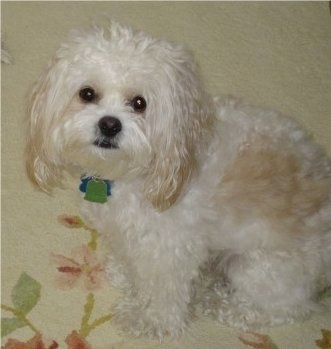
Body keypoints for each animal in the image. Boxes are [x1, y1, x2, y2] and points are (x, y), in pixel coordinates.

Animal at [26, 22, 331, 338]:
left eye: (139, 103)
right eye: (87, 93)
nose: (109, 124)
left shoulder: (170, 249)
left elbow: (164, 294)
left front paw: (149, 320)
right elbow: (128, 258)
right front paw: (124, 275)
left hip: (259, 268)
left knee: (286, 309)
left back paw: (222, 304)